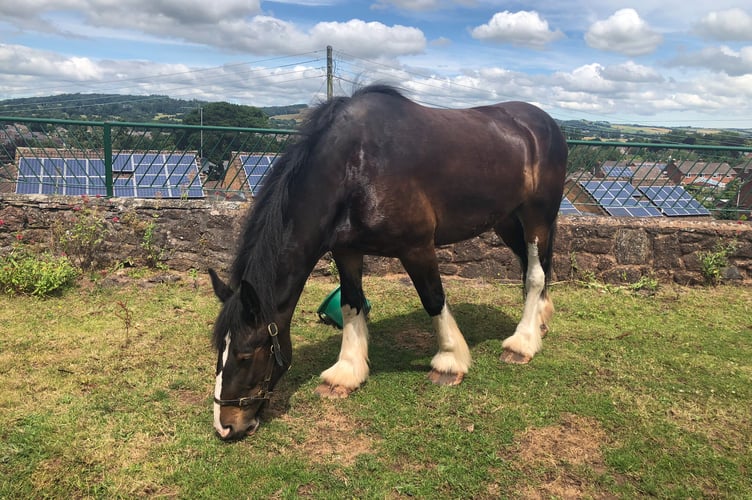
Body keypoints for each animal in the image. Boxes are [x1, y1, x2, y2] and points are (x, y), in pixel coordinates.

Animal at [209, 83, 568, 442]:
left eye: (245, 354)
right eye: (218, 350)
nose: (225, 426)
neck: (355, 166)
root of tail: (545, 123)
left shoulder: (417, 247)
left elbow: (434, 299)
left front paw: (449, 362)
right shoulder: (347, 250)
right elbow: (352, 304)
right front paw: (346, 373)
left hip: (536, 216)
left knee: (535, 274)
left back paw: (522, 344)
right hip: (506, 220)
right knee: (530, 266)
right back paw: (540, 321)